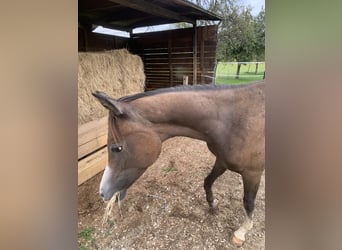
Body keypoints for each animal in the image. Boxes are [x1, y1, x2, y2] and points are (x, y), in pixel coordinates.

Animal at [91, 80, 264, 246]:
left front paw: (241, 232)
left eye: (117, 148)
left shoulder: (253, 173)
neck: (232, 120)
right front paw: (212, 204)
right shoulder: (222, 161)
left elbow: (248, 202)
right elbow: (207, 181)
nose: (102, 193)